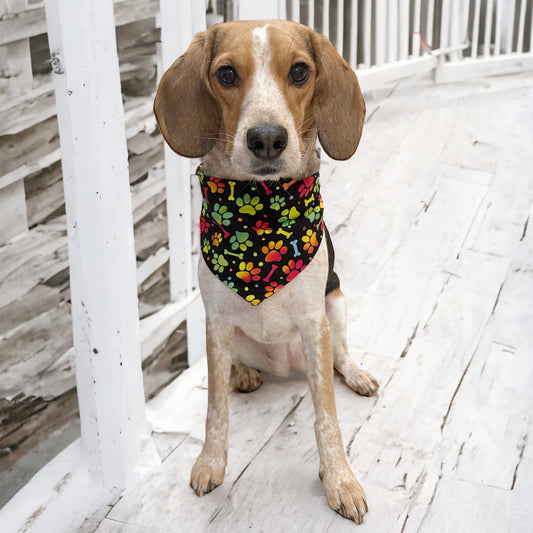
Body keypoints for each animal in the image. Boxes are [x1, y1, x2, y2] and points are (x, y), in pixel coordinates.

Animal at [154, 18, 378, 520]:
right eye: (226, 74)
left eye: (299, 72)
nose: (267, 139)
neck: (260, 215)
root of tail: (283, 365)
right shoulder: (215, 324)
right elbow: (215, 411)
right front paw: (210, 462)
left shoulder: (315, 325)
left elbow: (327, 417)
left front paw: (339, 479)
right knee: (237, 370)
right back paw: (245, 374)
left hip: (337, 304)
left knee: (340, 355)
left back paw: (354, 373)